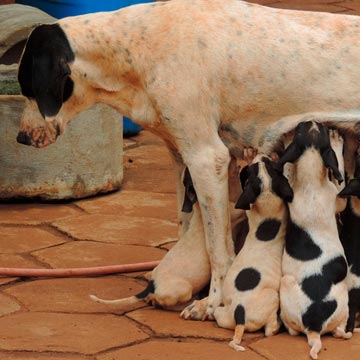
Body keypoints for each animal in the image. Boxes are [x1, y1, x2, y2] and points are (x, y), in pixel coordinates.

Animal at [214, 153, 292, 350]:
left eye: (268, 165)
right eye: (258, 166)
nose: (262, 155)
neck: (266, 194)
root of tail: (240, 313)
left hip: (222, 314)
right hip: (273, 298)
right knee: (269, 329)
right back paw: (277, 326)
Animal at [278, 122, 352, 358]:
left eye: (303, 128)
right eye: (320, 128)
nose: (311, 120)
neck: (310, 181)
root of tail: (314, 327)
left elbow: (287, 170)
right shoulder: (337, 198)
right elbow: (340, 177)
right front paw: (337, 141)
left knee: (294, 330)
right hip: (343, 303)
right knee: (338, 330)